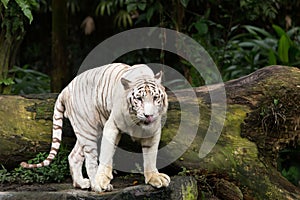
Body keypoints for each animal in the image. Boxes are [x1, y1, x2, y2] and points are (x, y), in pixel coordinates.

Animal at [20, 62, 170, 192]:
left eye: (155, 98)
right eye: (139, 99)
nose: (149, 115)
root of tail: (65, 89)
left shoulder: (154, 130)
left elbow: (151, 155)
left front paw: (154, 178)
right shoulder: (112, 126)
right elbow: (106, 154)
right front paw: (102, 180)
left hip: (86, 130)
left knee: (73, 156)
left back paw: (81, 183)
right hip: (88, 130)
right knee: (90, 161)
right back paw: (96, 185)